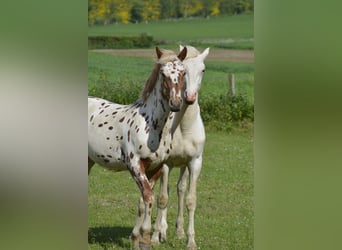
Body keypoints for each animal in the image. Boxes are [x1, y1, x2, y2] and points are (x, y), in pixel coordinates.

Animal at [88, 47, 187, 250]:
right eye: (163, 74)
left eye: (183, 73)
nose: (175, 103)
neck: (150, 125)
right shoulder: (134, 164)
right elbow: (148, 196)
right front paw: (146, 239)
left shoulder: (156, 167)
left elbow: (143, 200)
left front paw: (136, 238)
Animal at [152, 45, 208, 250]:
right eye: (184, 70)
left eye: (203, 70)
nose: (190, 97)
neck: (184, 127)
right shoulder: (165, 163)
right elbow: (162, 198)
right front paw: (155, 237)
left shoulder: (195, 163)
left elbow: (191, 199)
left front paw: (190, 240)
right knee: (163, 190)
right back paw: (161, 230)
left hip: (183, 165)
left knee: (180, 189)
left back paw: (178, 230)